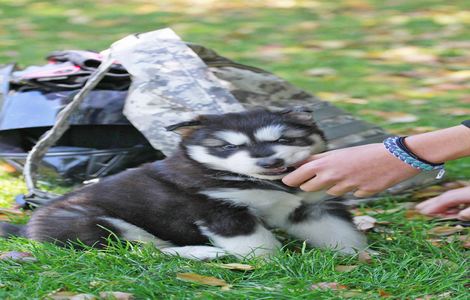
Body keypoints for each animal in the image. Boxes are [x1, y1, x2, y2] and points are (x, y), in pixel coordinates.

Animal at [0, 108, 368, 260]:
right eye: (227, 147)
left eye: (285, 139)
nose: (269, 162)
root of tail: (27, 228)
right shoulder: (220, 210)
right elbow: (259, 243)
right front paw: (273, 263)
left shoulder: (312, 206)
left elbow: (339, 232)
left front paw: (361, 255)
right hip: (95, 221)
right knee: (141, 251)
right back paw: (205, 252)